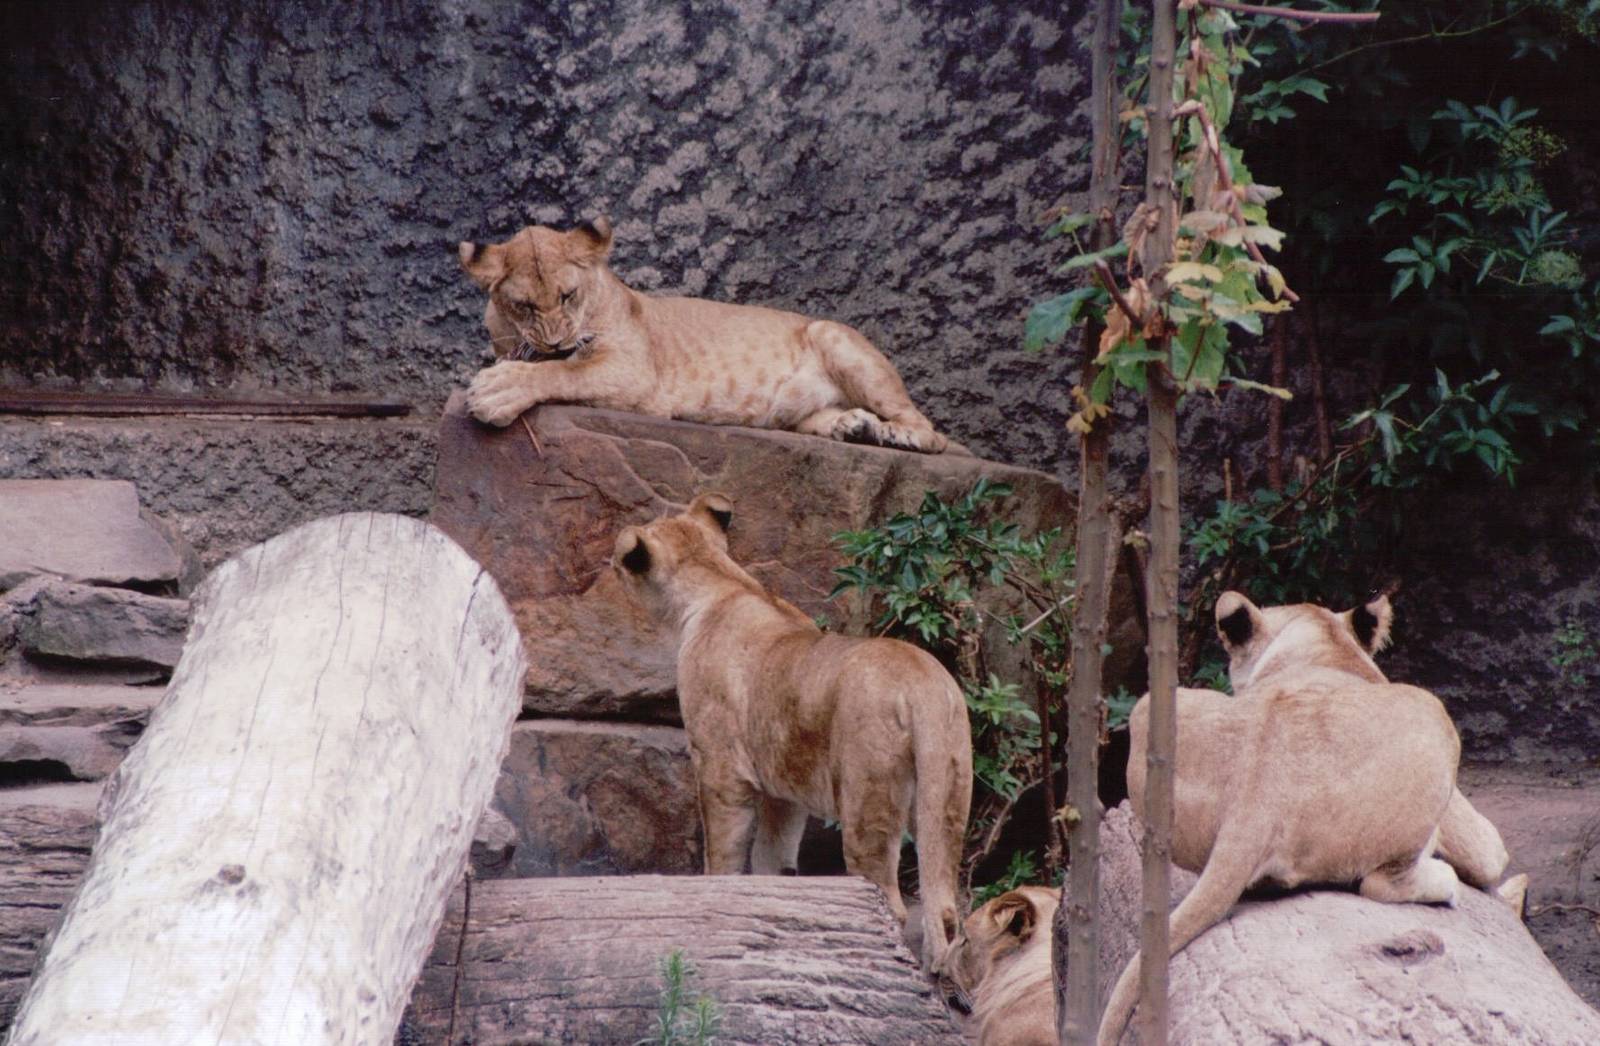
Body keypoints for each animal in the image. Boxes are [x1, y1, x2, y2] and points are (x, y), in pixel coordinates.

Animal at [458, 219, 949, 453]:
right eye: (524, 305)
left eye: (568, 295)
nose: (557, 343)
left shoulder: (639, 374)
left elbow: (565, 374)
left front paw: (498, 391)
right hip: (796, 411)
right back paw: (852, 426)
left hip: (833, 335)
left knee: (931, 430)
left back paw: (896, 435)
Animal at [611, 492, 973, 972]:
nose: (609, 563)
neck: (722, 585)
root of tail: (922, 683)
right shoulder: (783, 788)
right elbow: (773, 859)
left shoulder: (721, 768)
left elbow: (724, 855)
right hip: (948, 790)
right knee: (945, 905)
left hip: (866, 797)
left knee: (888, 899)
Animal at [1099, 590, 1513, 1045]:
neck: (1323, 644)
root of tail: (1259, 791)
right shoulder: (1474, 834)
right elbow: (1491, 856)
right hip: (1433, 712)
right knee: (1381, 883)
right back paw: (1444, 882)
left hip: (1150, 707)